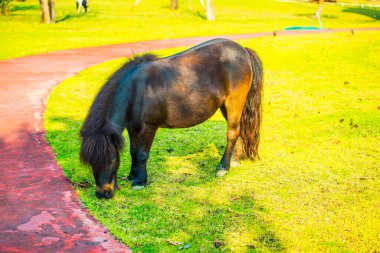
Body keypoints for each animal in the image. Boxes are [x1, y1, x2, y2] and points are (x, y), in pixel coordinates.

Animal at [79, 38, 264, 199]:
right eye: (90, 162)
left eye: (111, 159)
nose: (103, 193)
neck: (136, 90)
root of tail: (243, 50)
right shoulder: (132, 127)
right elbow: (133, 151)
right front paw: (132, 175)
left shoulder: (148, 127)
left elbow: (142, 153)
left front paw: (139, 181)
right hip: (225, 106)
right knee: (238, 130)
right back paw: (234, 160)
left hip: (234, 103)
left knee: (232, 133)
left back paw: (223, 167)